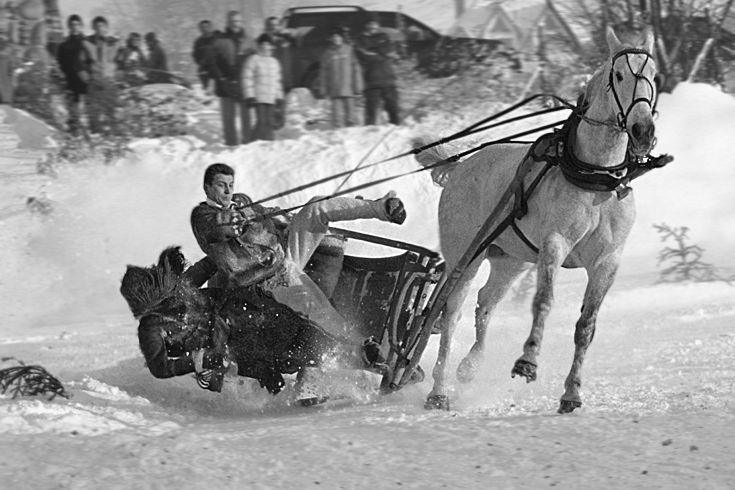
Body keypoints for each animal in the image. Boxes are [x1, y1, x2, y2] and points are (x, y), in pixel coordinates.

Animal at [416, 28, 660, 414]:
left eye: (653, 75)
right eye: (619, 76)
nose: (642, 131)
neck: (595, 176)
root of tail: (460, 166)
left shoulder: (607, 261)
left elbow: (586, 325)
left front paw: (571, 393)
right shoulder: (554, 246)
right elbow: (543, 302)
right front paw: (527, 362)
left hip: (510, 259)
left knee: (486, 302)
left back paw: (470, 366)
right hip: (464, 256)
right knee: (451, 311)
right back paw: (438, 391)